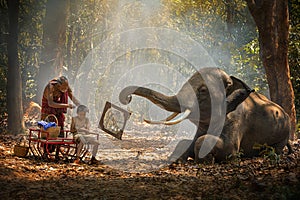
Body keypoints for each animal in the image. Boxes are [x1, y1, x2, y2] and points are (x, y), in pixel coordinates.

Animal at [118, 67, 292, 162]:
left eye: (202, 90)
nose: (128, 98)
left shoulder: (236, 120)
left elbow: (226, 148)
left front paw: (201, 160)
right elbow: (188, 141)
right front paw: (175, 159)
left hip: (283, 134)